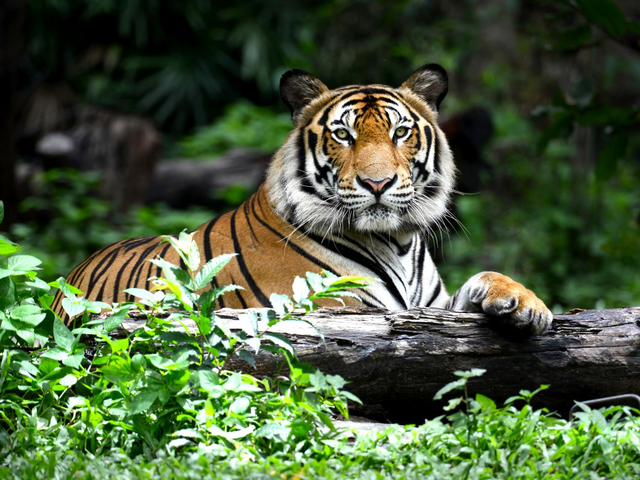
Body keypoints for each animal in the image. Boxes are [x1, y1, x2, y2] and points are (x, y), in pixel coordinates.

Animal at [52, 64, 552, 335]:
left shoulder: (432, 307)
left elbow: (484, 278)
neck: (397, 242)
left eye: (400, 132)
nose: (377, 183)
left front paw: (526, 304)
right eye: (343, 135)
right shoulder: (338, 310)